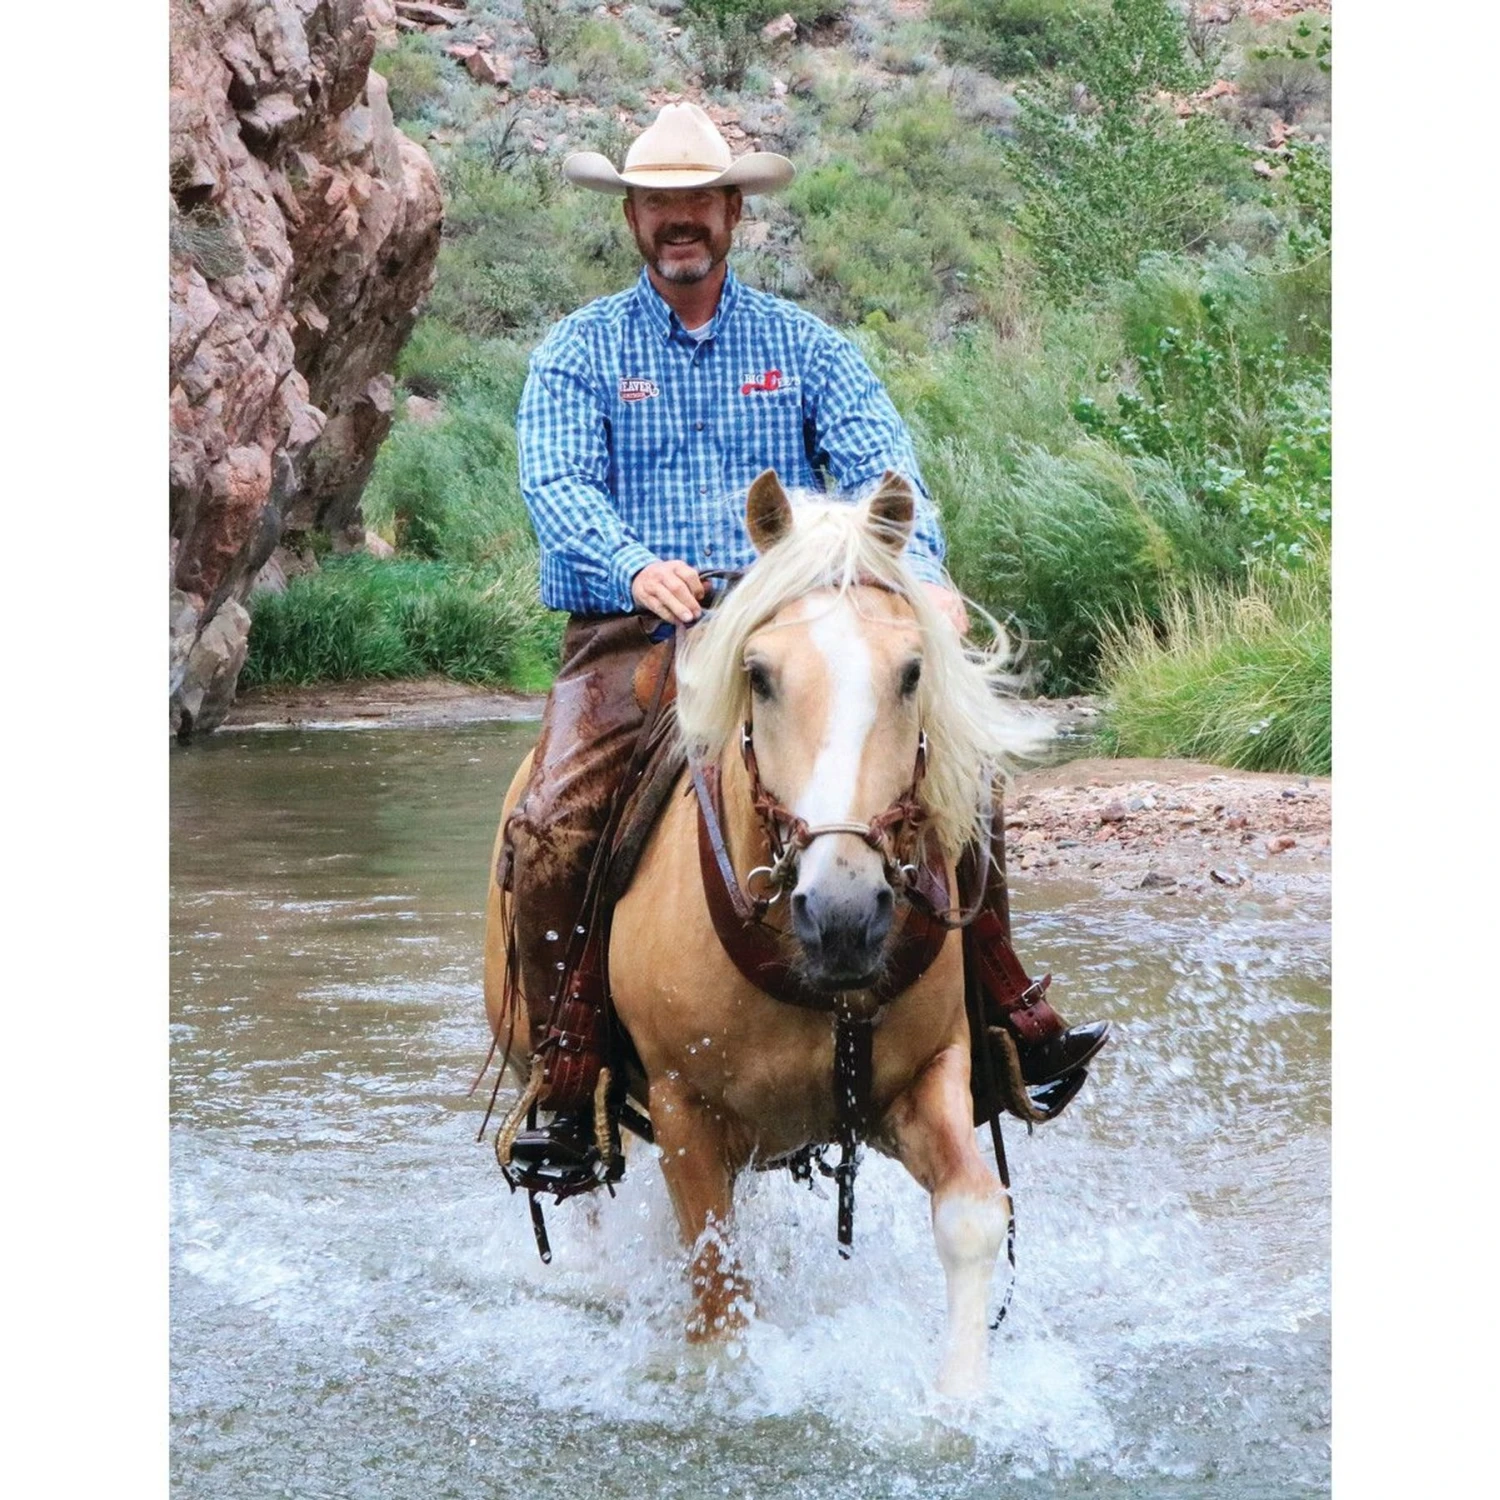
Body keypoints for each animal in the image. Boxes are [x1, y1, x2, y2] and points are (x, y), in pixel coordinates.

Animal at [483, 469, 1045, 1397]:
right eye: (761, 674)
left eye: (912, 671)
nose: (844, 915)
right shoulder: (685, 1111)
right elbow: (718, 1302)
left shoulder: (927, 1074)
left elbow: (972, 1214)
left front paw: (961, 1399)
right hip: (548, 1069)